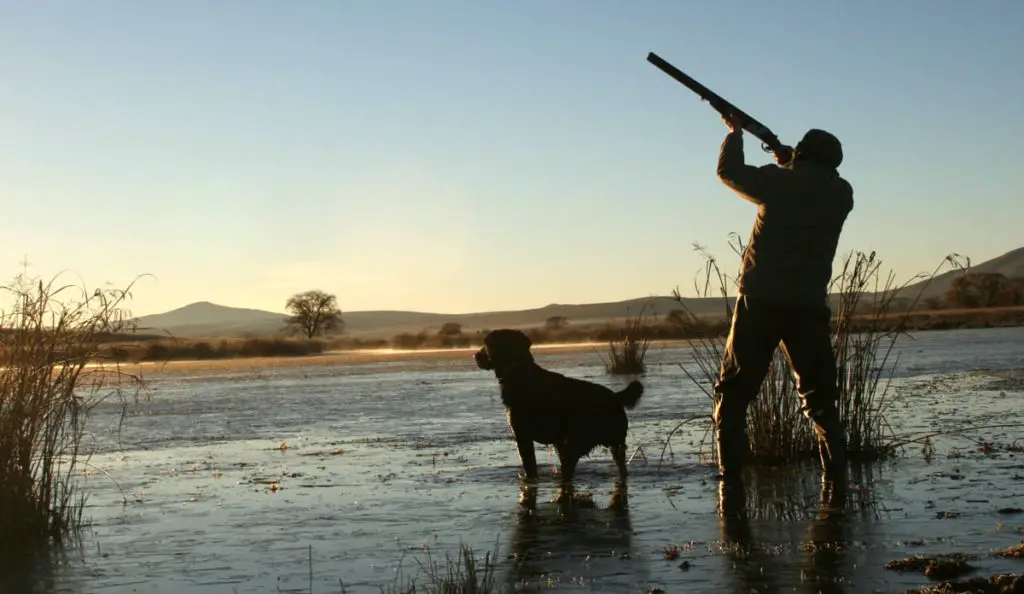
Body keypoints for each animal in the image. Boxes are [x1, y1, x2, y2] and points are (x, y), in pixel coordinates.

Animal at [473, 327, 647, 485]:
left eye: (486, 343)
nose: (475, 355)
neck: (518, 370)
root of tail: (615, 397)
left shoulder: (522, 436)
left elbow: (529, 466)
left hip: (577, 440)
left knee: (569, 466)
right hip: (613, 442)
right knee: (620, 465)